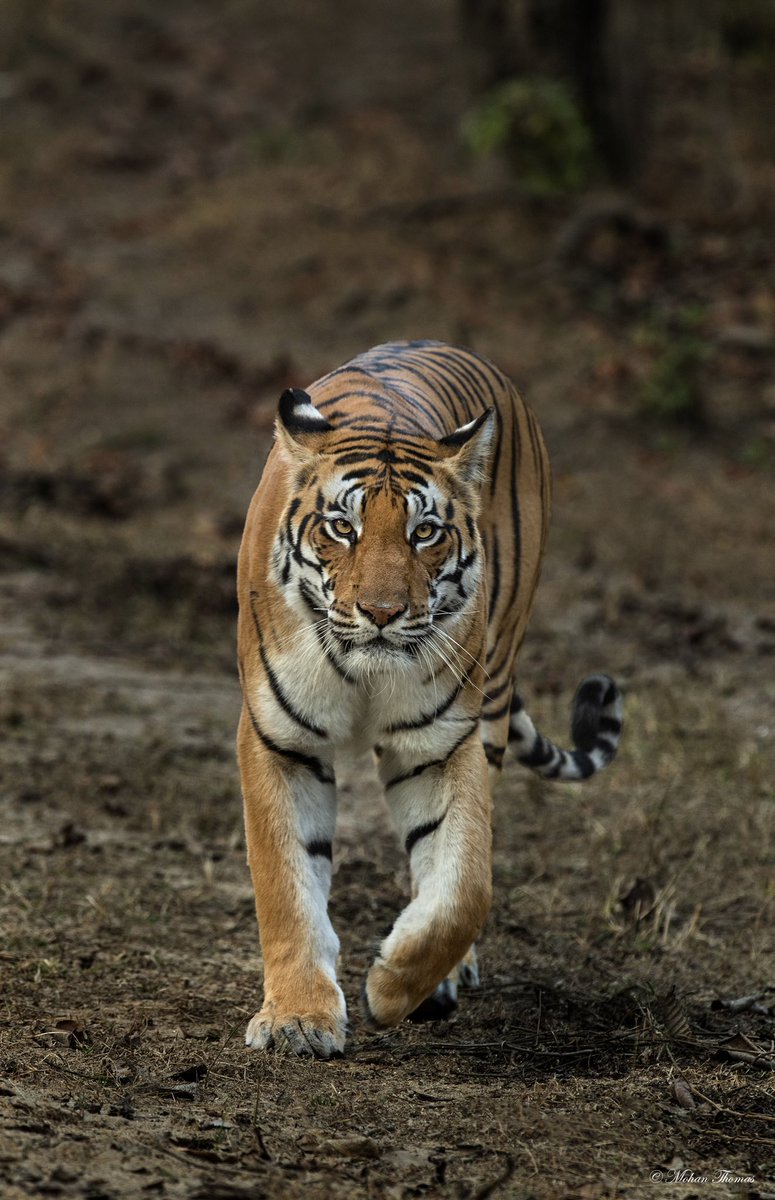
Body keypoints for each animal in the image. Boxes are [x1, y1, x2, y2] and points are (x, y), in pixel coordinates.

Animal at [236, 338, 623, 1060]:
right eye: (342, 527)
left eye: (424, 532)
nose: (383, 612)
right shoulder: (280, 739)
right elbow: (285, 882)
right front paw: (298, 1020)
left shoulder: (443, 742)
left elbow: (464, 884)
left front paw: (395, 987)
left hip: (493, 688)